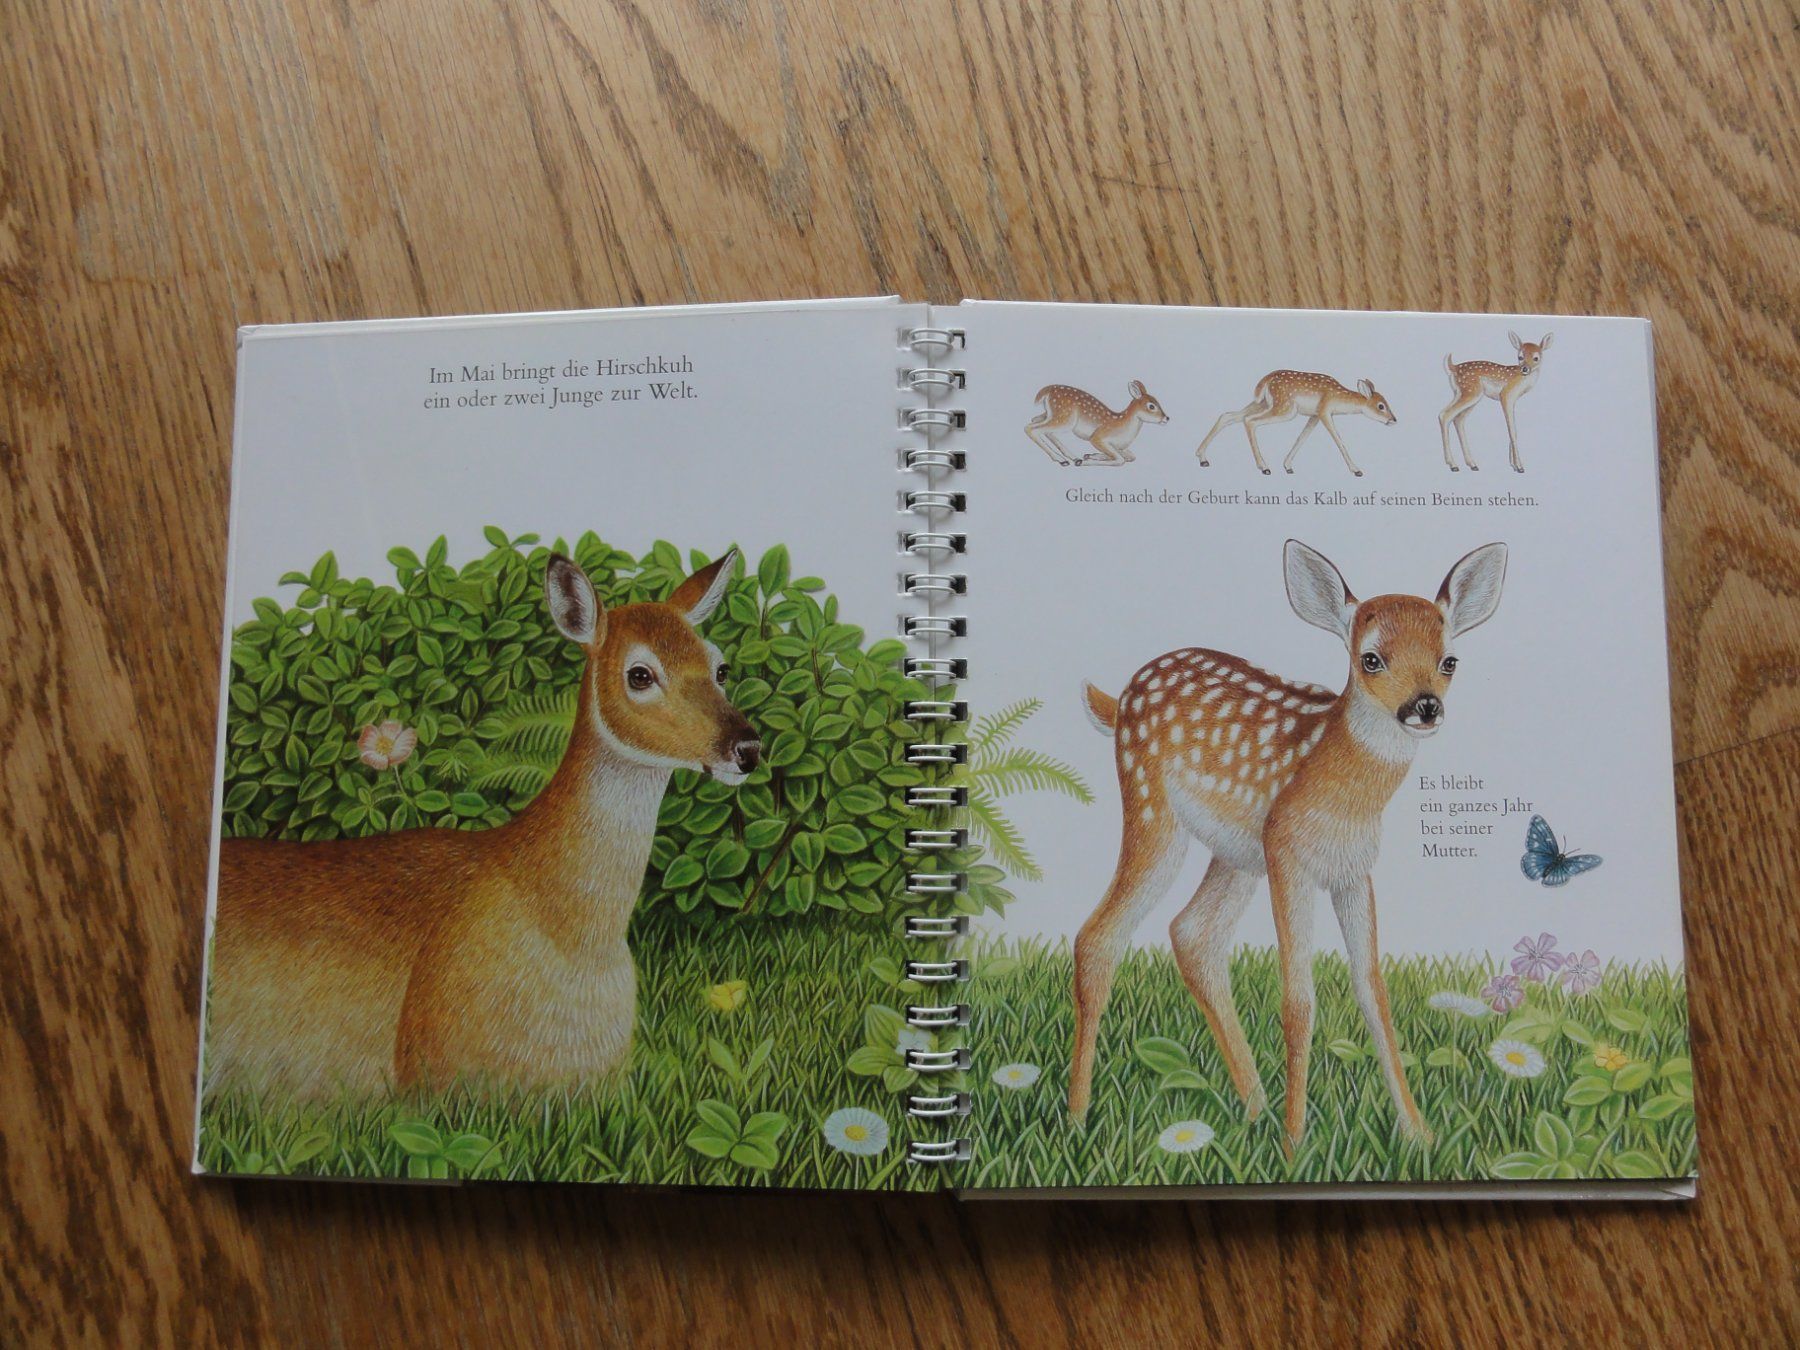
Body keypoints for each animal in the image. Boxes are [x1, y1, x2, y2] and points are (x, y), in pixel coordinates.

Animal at [1025, 380, 1169, 466]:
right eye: (1151, 406)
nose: (1166, 418)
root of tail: (1047, 391)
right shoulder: (1097, 437)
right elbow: (1120, 460)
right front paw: (1086, 461)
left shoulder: (1120, 447)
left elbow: (1130, 456)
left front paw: (1091, 456)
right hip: (1065, 418)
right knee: (1031, 428)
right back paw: (1062, 459)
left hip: (1052, 415)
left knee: (1036, 421)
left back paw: (1073, 457)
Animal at [1069, 539, 1508, 1155]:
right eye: (1371, 659)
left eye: (1450, 660)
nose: (1424, 706)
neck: (1345, 793)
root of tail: (1122, 696)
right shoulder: (1287, 854)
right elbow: (1298, 1001)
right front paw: (1297, 1144)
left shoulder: (1353, 869)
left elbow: (1373, 990)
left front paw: (1418, 1134)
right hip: (1154, 808)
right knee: (1099, 936)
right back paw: (1076, 1117)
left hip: (1236, 853)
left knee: (1192, 935)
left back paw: (1253, 1108)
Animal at [1195, 371, 1396, 478]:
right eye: (1381, 406)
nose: (1394, 420)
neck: (1340, 400)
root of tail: (1265, 381)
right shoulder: (1324, 411)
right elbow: (1339, 440)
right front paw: (1356, 470)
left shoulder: (1314, 415)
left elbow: (1302, 437)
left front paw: (1288, 466)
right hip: (1285, 408)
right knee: (1249, 421)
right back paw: (1264, 467)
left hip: (1264, 403)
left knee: (1228, 415)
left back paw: (1202, 458)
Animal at [1439, 332, 1552, 473]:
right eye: (1520, 357)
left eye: (1536, 358)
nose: (1525, 369)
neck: (1521, 381)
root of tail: (1453, 367)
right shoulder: (1505, 395)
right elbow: (1512, 430)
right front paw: (1519, 466)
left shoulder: (1513, 400)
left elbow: (1512, 429)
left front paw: (1513, 465)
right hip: (1471, 392)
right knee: (1445, 415)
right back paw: (1453, 465)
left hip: (1465, 394)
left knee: (1457, 419)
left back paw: (1472, 464)